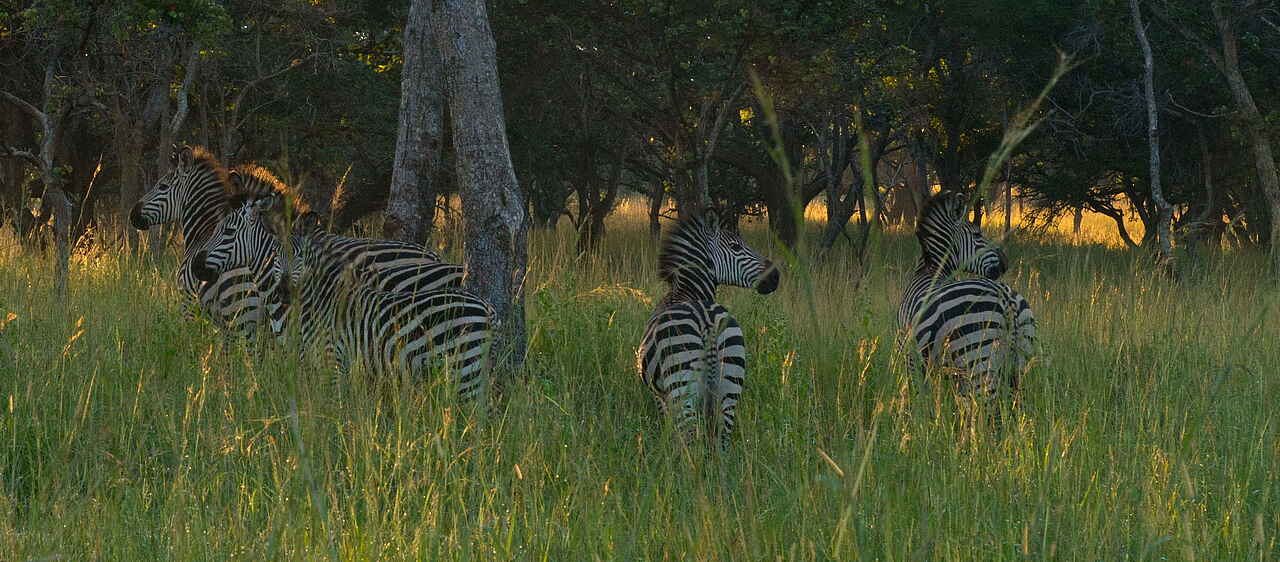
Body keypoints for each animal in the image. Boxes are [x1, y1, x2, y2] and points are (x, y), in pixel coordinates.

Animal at [193, 192, 491, 401]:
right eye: (276, 256)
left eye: (227, 231)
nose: (196, 267)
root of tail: (487, 309)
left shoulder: (326, 360)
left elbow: (331, 408)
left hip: (463, 369)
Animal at [637, 212, 780, 451]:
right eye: (735, 247)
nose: (776, 276)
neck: (688, 293)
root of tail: (707, 321)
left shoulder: (660, 395)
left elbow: (670, 429)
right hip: (730, 382)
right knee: (721, 443)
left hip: (682, 382)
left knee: (690, 440)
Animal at [897, 190, 1036, 401]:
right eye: (977, 234)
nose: (1005, 263)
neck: (932, 271)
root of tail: (1006, 299)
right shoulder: (950, 371)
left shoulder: (910, 357)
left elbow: (919, 398)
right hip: (1018, 363)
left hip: (978, 356)